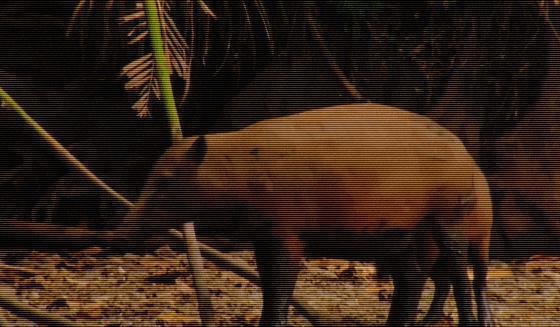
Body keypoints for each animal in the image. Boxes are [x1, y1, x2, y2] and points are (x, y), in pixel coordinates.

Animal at [103, 103, 492, 327]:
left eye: (165, 181)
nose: (119, 234)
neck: (238, 172)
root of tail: (462, 150)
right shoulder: (264, 235)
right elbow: (269, 283)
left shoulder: (287, 231)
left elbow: (281, 284)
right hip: (401, 236)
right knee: (413, 278)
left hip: (451, 219)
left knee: (462, 271)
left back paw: (475, 320)